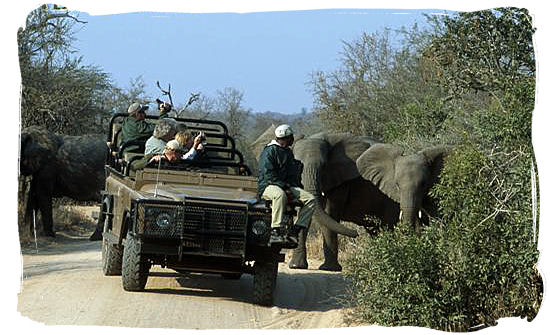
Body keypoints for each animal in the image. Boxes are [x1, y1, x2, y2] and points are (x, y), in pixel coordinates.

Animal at [288, 140, 452, 272]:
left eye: (323, 166)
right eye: (297, 165)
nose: (356, 233)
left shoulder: (341, 184)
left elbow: (330, 214)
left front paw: (329, 269)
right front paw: (297, 266)